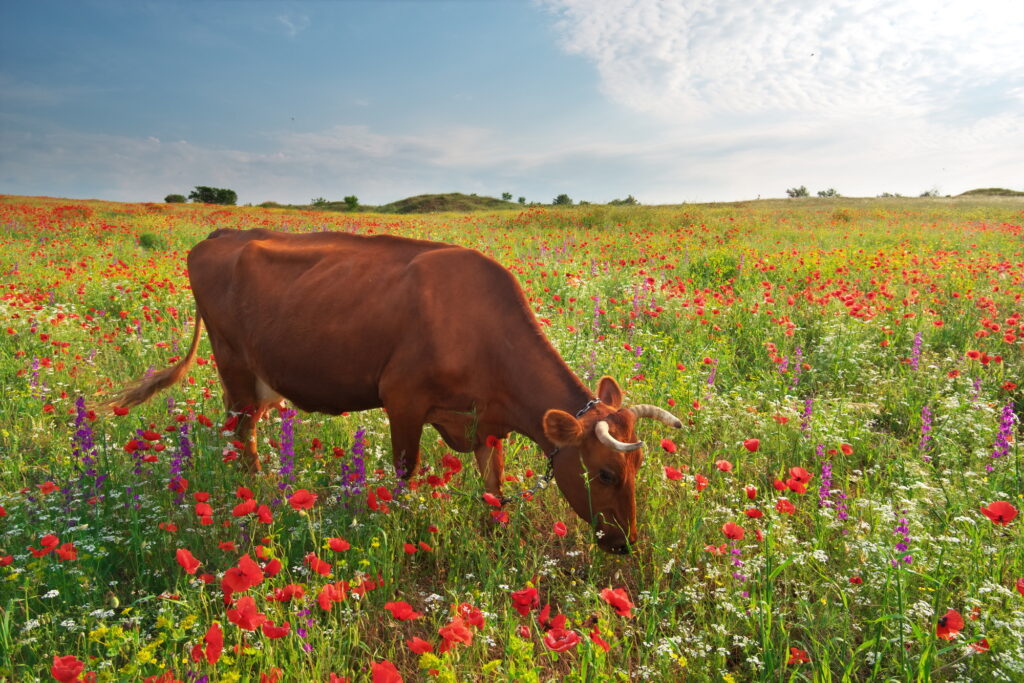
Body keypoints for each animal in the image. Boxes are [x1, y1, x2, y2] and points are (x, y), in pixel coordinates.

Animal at [107, 228, 681, 553]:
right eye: (605, 473)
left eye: (638, 467)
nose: (627, 545)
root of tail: (218, 235)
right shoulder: (402, 402)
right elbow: (405, 474)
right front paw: (402, 529)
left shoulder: (483, 423)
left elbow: (494, 487)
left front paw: (496, 534)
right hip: (233, 366)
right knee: (239, 433)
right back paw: (257, 495)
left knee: (246, 431)